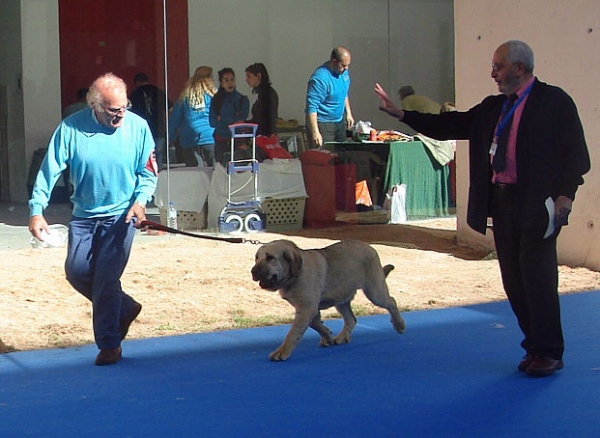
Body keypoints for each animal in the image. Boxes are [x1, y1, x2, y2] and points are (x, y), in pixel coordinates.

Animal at [251, 240, 406, 360]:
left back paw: (399, 325)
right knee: (351, 319)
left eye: (270, 258)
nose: (252, 272)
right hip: (341, 298)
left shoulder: (307, 308)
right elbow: (315, 324)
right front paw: (327, 336)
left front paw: (282, 351)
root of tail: (370, 247)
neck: (294, 275)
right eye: (257, 258)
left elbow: (293, 333)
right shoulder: (310, 309)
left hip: (374, 292)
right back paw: (342, 337)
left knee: (392, 302)